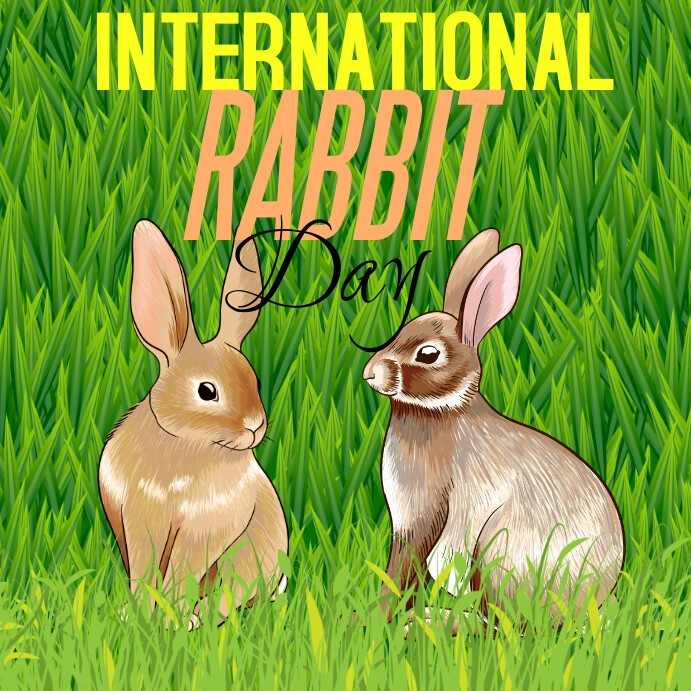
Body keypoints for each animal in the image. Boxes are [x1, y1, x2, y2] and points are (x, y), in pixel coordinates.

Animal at [98, 219, 288, 629]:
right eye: (206, 391)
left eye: (255, 381)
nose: (255, 427)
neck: (183, 446)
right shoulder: (138, 521)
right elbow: (145, 571)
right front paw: (137, 615)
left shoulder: (206, 531)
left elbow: (180, 574)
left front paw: (171, 619)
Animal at [363, 228, 624, 628]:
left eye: (428, 354)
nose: (369, 373)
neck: (444, 409)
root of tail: (588, 604)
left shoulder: (424, 515)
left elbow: (402, 570)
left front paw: (377, 620)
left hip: (498, 552)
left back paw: (435, 622)